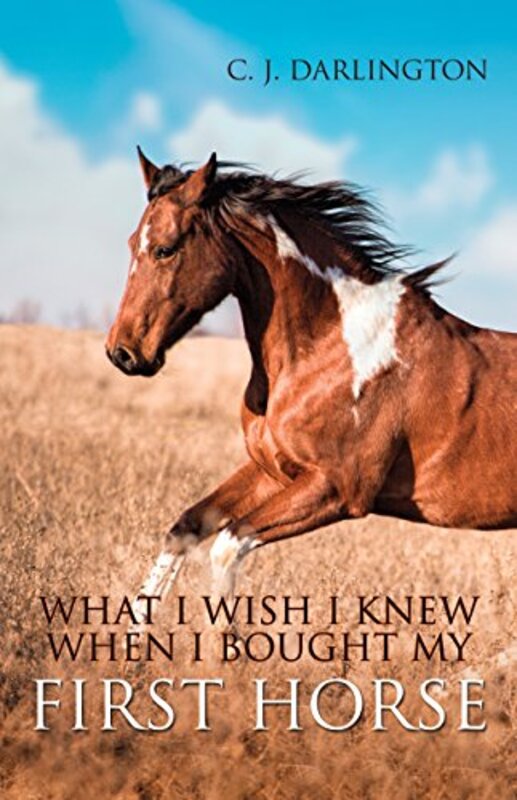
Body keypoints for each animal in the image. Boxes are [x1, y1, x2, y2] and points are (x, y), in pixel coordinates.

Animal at [106, 148, 517, 624]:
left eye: (165, 249)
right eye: (131, 244)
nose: (122, 352)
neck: (330, 346)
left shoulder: (335, 489)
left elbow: (226, 547)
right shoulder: (274, 471)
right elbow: (184, 530)